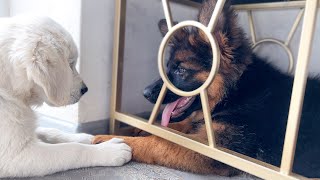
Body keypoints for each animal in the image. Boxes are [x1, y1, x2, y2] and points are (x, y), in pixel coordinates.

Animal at [0, 16, 131, 178]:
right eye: (70, 64)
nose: (85, 89)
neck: (9, 89)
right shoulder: (15, 156)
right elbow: (73, 149)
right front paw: (109, 150)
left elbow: (51, 131)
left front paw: (85, 137)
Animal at [93, 0, 320, 177]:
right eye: (167, 67)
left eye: (181, 70)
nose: (145, 93)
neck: (239, 92)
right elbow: (173, 125)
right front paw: (135, 127)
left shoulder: (217, 151)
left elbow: (158, 141)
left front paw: (109, 141)